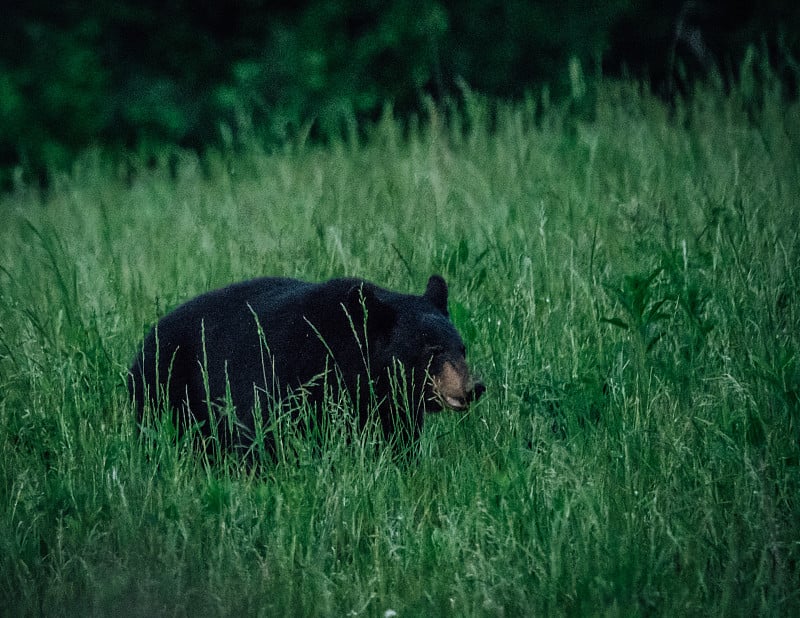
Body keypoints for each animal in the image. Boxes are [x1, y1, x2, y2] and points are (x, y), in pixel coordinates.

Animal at [128, 274, 484, 452]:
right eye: (432, 350)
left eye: (462, 348)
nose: (472, 388)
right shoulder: (287, 376)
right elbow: (262, 435)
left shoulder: (389, 407)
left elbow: (397, 442)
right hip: (165, 390)